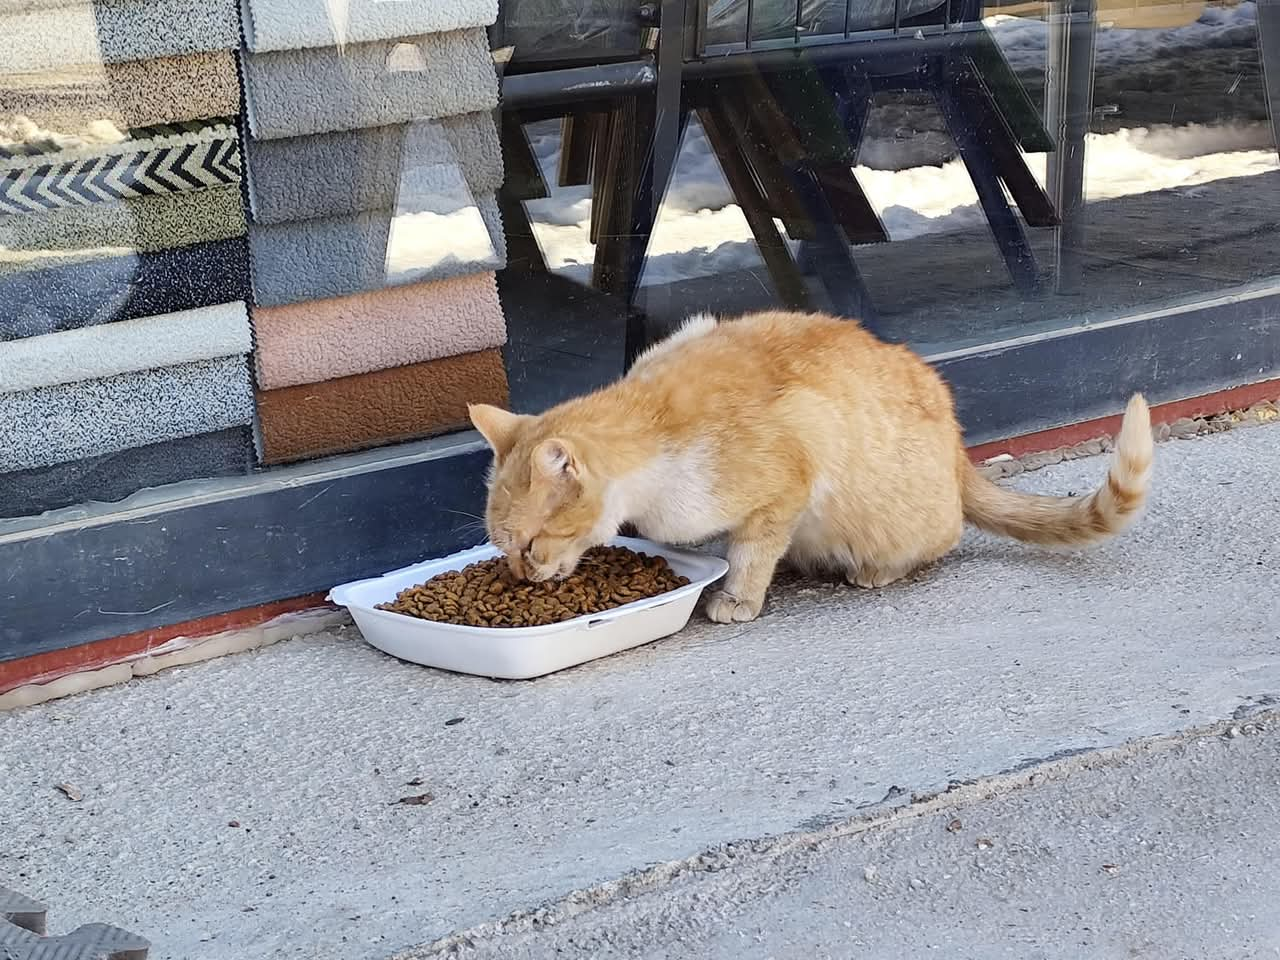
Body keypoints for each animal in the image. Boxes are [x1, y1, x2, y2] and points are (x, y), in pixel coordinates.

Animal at [473, 309, 1162, 624]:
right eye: (502, 547)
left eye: (529, 545)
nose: (520, 577)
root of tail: (958, 453)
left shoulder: (784, 486)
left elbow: (751, 553)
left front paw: (737, 597)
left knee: (937, 541)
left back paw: (874, 571)